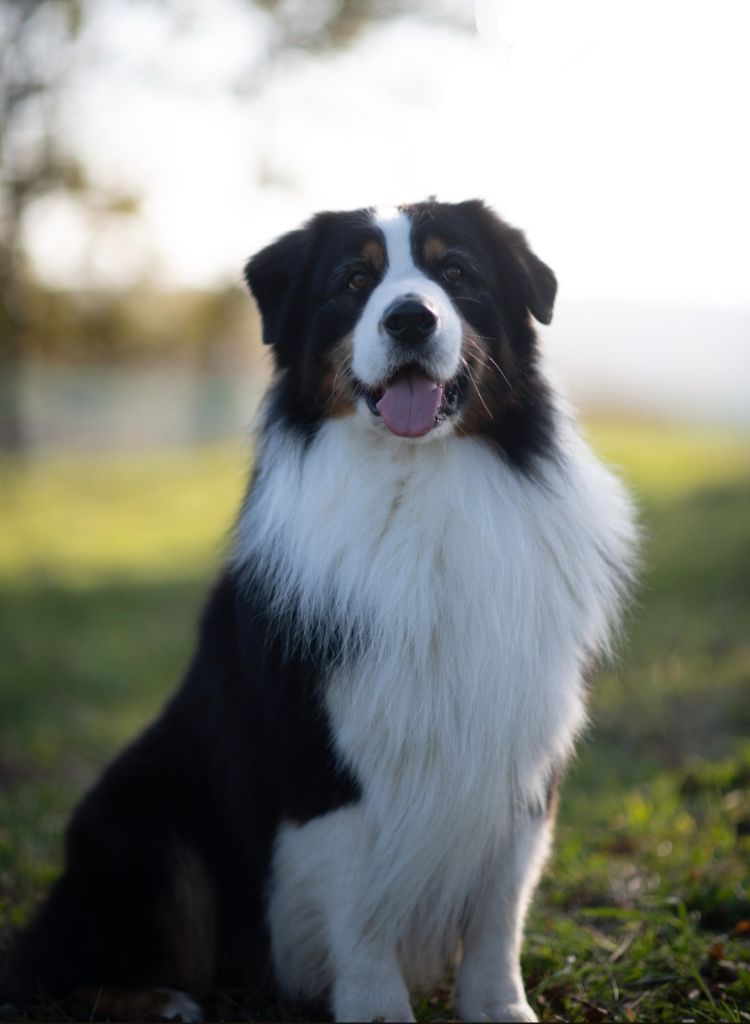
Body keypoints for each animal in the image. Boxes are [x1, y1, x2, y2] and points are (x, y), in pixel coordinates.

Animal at [8, 201, 635, 1024]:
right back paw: (161, 1000)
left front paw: (501, 1010)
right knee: (53, 962)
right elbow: (362, 914)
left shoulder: (520, 749)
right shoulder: (321, 759)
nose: (410, 318)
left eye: (456, 271)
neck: (417, 484)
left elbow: (500, 914)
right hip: (142, 818)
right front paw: (378, 1012)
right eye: (354, 281)